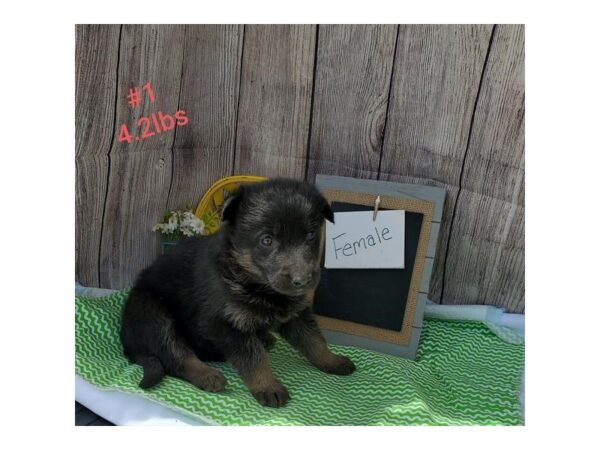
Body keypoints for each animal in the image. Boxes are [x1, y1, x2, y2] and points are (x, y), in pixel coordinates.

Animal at [120, 178, 356, 408]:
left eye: (311, 235)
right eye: (267, 240)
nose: (302, 281)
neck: (256, 283)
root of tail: (128, 342)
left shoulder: (297, 314)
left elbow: (315, 341)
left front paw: (332, 361)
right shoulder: (227, 324)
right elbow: (254, 358)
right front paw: (268, 386)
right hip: (153, 314)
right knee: (175, 356)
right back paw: (207, 375)